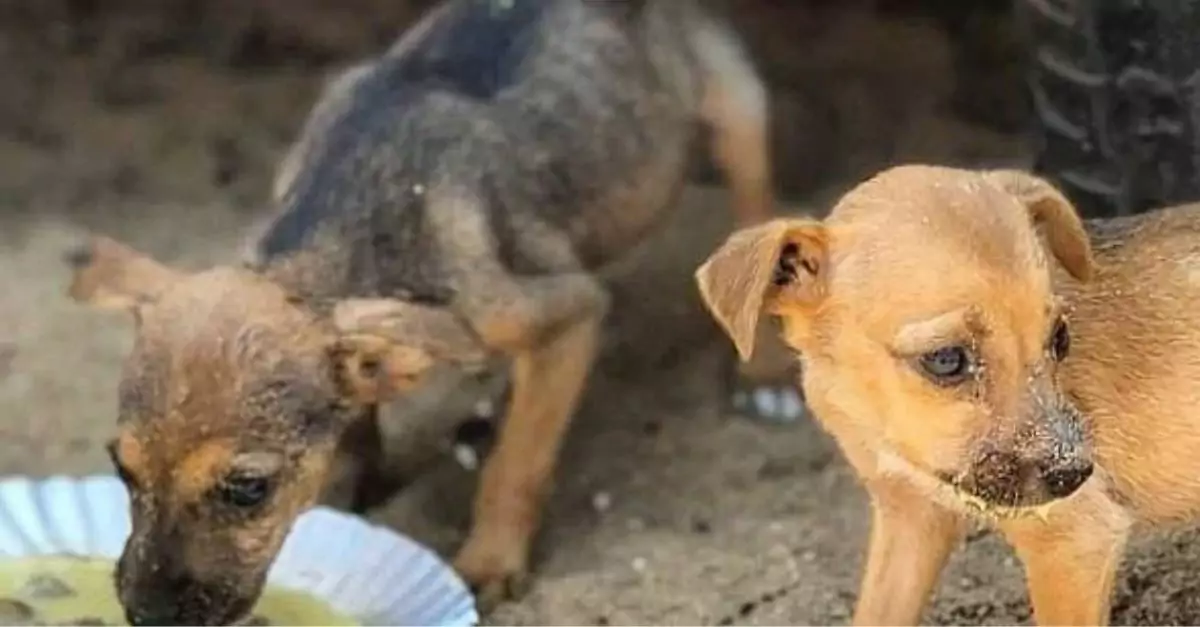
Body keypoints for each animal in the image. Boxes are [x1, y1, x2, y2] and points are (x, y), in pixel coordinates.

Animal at [65, 2, 772, 619]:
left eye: (248, 490)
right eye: (120, 466)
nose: (146, 616)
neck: (353, 219)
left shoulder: (562, 318)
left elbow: (516, 465)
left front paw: (489, 563)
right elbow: (359, 423)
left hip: (731, 102)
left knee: (756, 208)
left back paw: (759, 374)